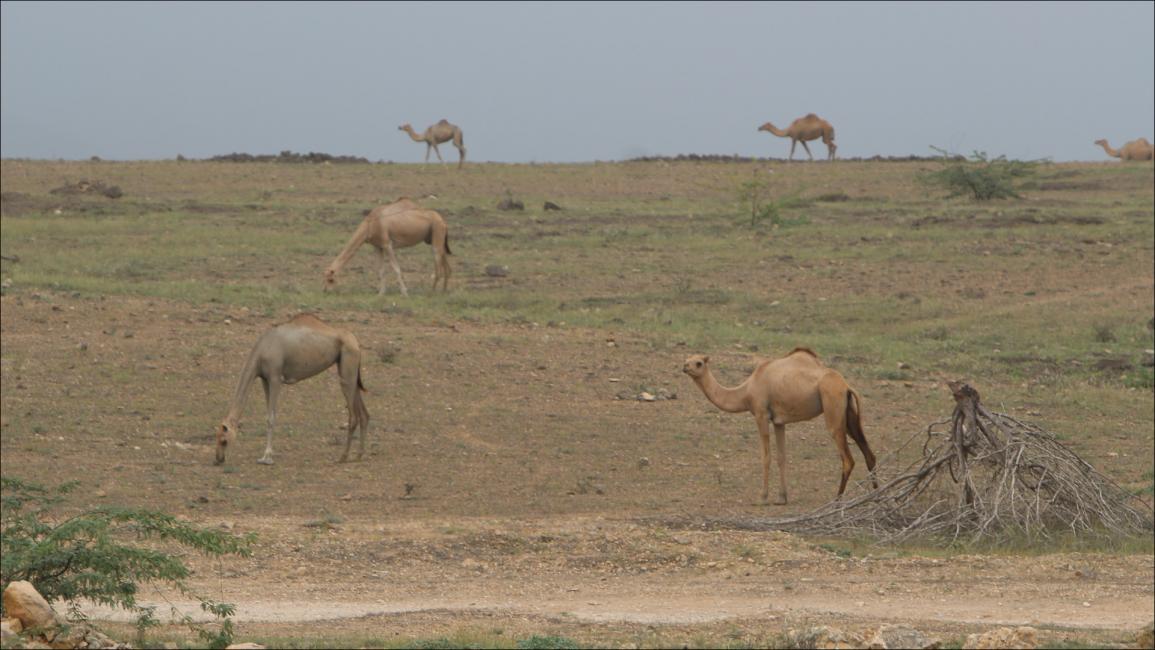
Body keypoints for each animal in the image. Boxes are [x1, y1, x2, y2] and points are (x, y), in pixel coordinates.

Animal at [215, 311, 369, 466]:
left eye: (224, 440)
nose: (218, 459)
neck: (261, 352)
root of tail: (355, 342)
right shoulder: (265, 379)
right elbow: (268, 415)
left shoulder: (275, 378)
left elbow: (271, 418)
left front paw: (267, 457)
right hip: (350, 372)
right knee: (364, 413)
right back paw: (359, 455)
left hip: (347, 373)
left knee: (353, 416)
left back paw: (343, 457)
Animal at [325, 198, 455, 297]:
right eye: (325, 278)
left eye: (330, 279)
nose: (325, 291)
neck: (370, 225)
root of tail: (443, 221)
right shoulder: (377, 247)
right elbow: (381, 270)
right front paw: (381, 293)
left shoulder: (387, 244)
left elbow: (396, 269)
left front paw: (404, 293)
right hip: (435, 240)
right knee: (446, 264)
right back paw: (443, 292)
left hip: (437, 235)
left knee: (438, 267)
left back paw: (431, 293)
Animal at [679, 348, 877, 505]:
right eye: (687, 359)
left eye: (698, 363)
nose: (685, 367)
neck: (746, 392)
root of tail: (846, 386)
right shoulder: (779, 422)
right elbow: (782, 457)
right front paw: (782, 497)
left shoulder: (761, 414)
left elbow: (766, 457)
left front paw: (762, 497)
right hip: (850, 416)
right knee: (870, 455)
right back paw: (875, 496)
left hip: (833, 409)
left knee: (848, 459)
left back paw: (836, 500)